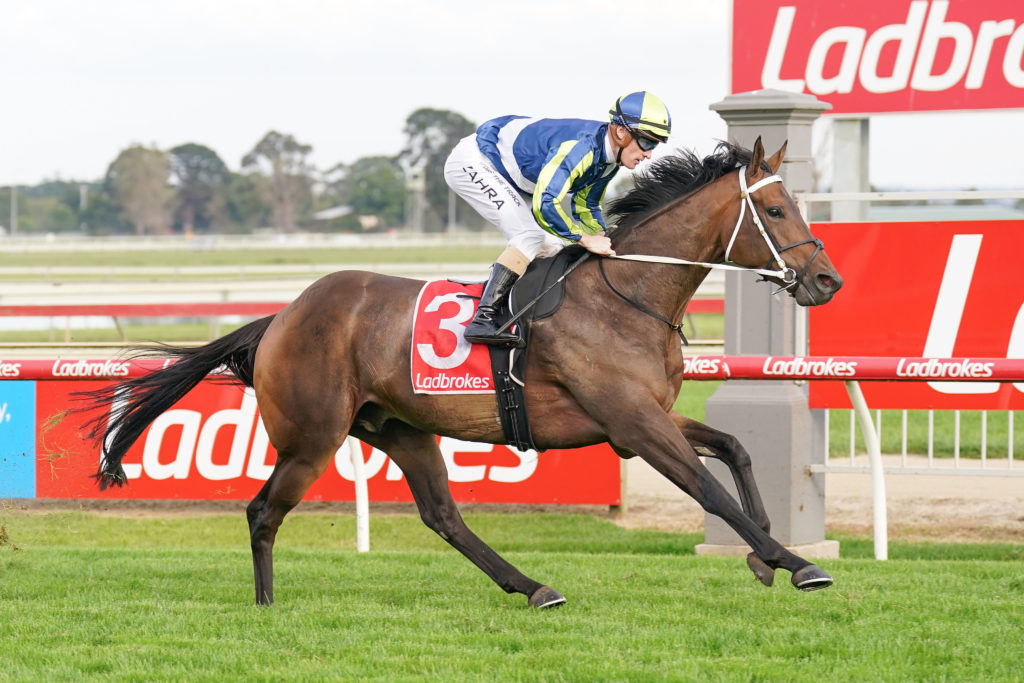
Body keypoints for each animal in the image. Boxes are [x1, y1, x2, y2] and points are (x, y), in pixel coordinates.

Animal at [80, 137, 843, 609]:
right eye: (776, 209)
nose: (827, 280)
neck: (627, 293)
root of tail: (282, 316)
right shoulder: (632, 423)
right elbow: (707, 488)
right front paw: (797, 563)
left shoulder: (644, 415)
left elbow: (737, 449)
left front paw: (765, 555)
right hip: (312, 437)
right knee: (263, 510)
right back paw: (266, 604)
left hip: (400, 427)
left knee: (443, 516)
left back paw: (534, 587)